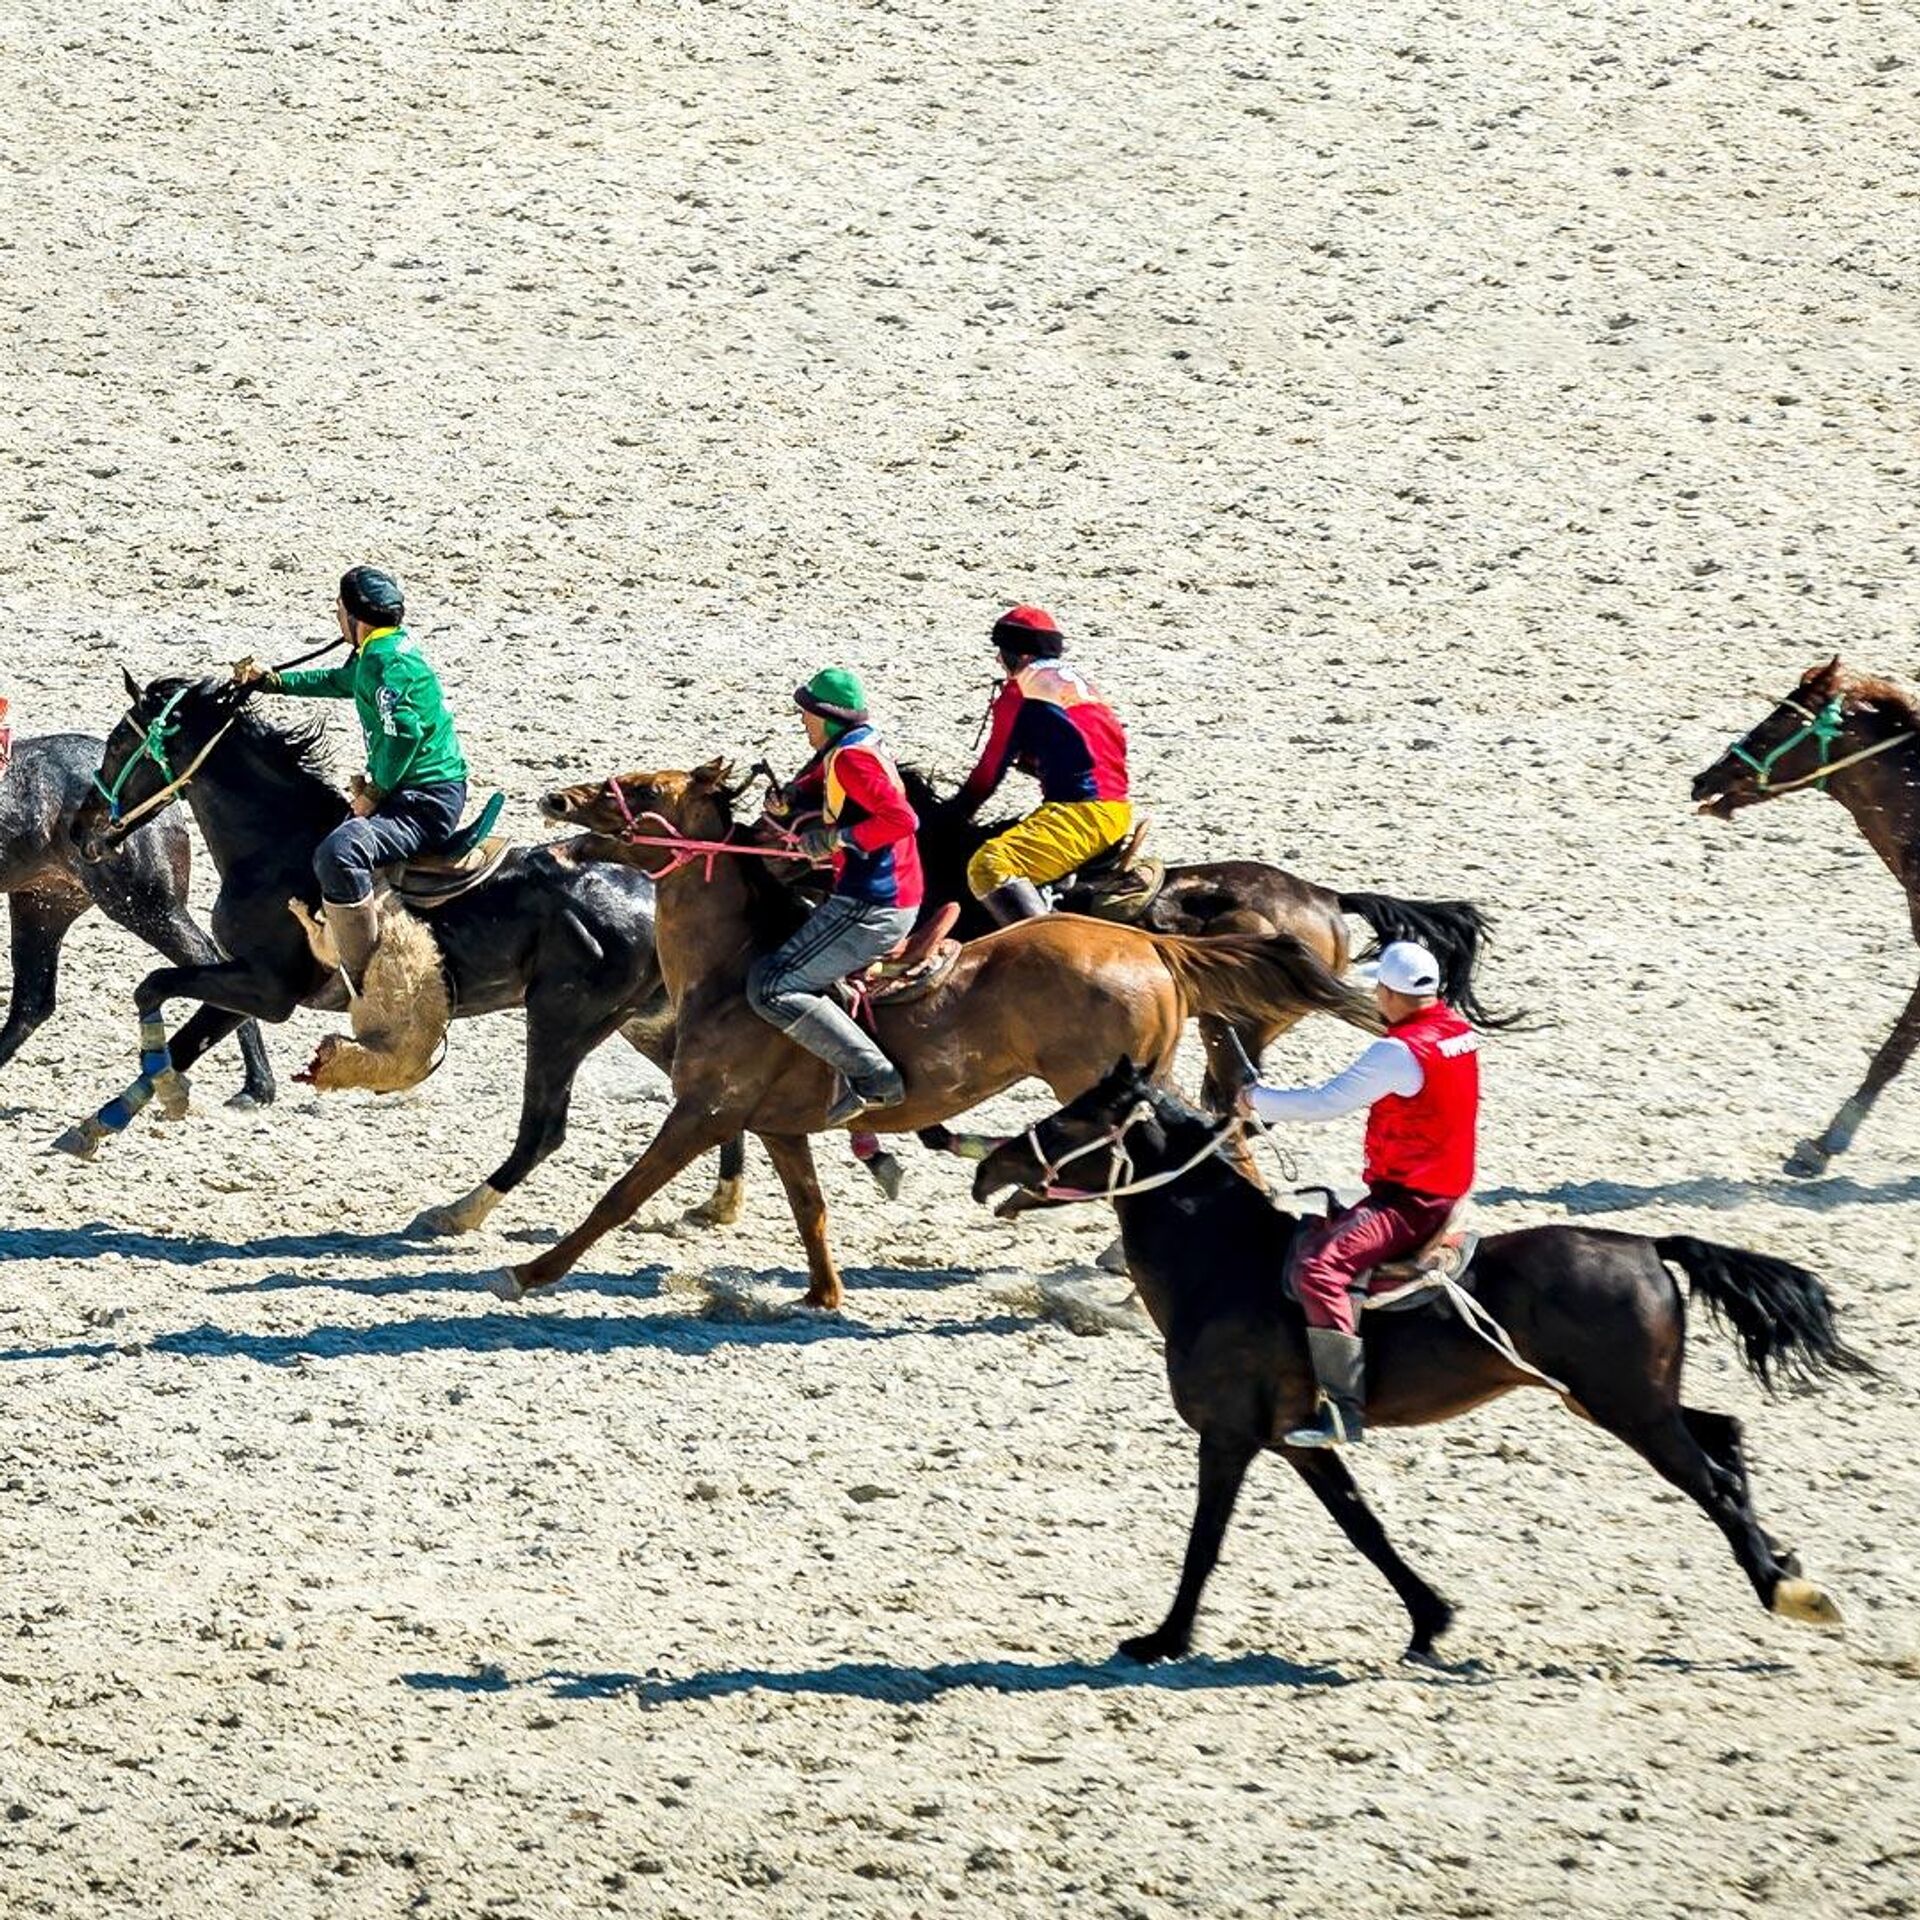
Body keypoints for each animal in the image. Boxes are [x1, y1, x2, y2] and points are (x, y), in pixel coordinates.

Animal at [58, 675, 733, 1236]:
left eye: (120, 742)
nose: (79, 828)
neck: (277, 849)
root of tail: (649, 892)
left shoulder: (264, 989)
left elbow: (153, 985)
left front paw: (164, 1094)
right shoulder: (241, 983)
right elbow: (185, 1038)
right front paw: (97, 1124)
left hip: (560, 1023)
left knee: (544, 1131)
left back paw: (455, 1214)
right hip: (647, 1023)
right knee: (713, 1098)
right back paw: (718, 1203)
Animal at [483, 756, 1382, 1313]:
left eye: (638, 786)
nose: (555, 801)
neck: (734, 966)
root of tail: (1153, 944)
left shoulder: (705, 1112)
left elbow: (621, 1194)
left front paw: (528, 1272)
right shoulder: (775, 1127)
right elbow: (810, 1208)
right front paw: (823, 1294)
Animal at [975, 1067, 1858, 1666]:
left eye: (1073, 1116)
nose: (988, 1168)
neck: (1225, 1262)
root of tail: (1645, 1244)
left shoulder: (1228, 1436)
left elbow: (1205, 1540)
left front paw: (1164, 1637)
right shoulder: (1300, 1441)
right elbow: (1362, 1525)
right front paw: (1430, 1619)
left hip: (1629, 1409)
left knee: (1712, 1479)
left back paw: (1788, 1590)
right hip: (1621, 1400)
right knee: (1725, 1436)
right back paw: (1782, 1561)